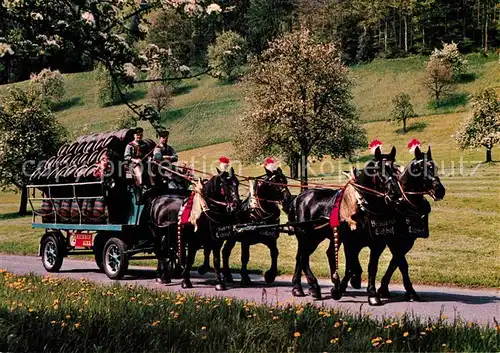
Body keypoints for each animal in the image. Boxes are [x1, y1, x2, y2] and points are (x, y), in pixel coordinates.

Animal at [286, 146, 398, 300]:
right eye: (378, 170)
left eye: (395, 168)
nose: (394, 192)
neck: (362, 206)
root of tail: (298, 198)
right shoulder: (350, 241)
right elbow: (351, 266)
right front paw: (338, 289)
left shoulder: (377, 244)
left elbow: (371, 267)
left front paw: (371, 293)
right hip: (308, 236)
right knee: (304, 258)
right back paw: (314, 286)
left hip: (315, 237)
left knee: (302, 256)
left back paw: (299, 287)